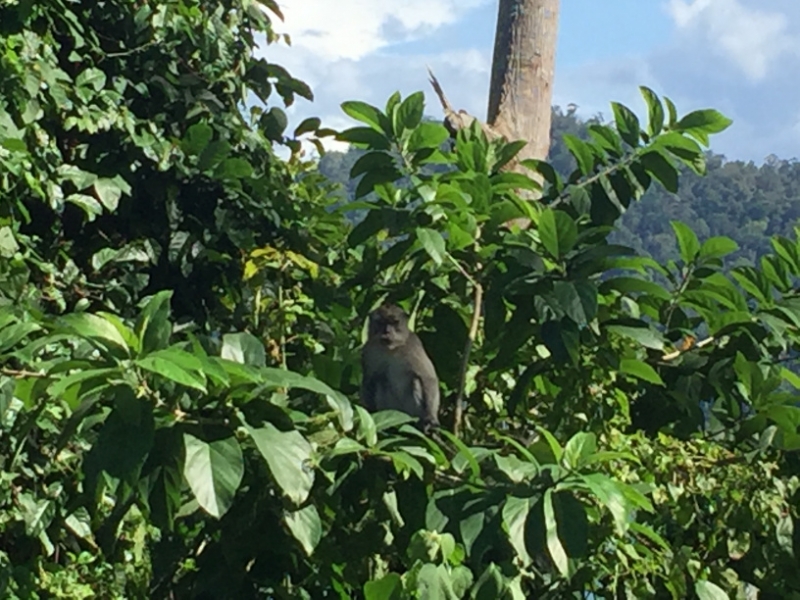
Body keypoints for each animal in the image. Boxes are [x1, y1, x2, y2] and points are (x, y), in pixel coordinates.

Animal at [360, 304, 440, 433]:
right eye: (381, 322)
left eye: (394, 322)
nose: (387, 331)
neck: (390, 348)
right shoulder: (368, 350)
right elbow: (369, 379)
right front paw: (368, 410)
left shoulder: (413, 345)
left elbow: (427, 377)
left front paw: (430, 418)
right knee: (380, 379)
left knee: (415, 380)